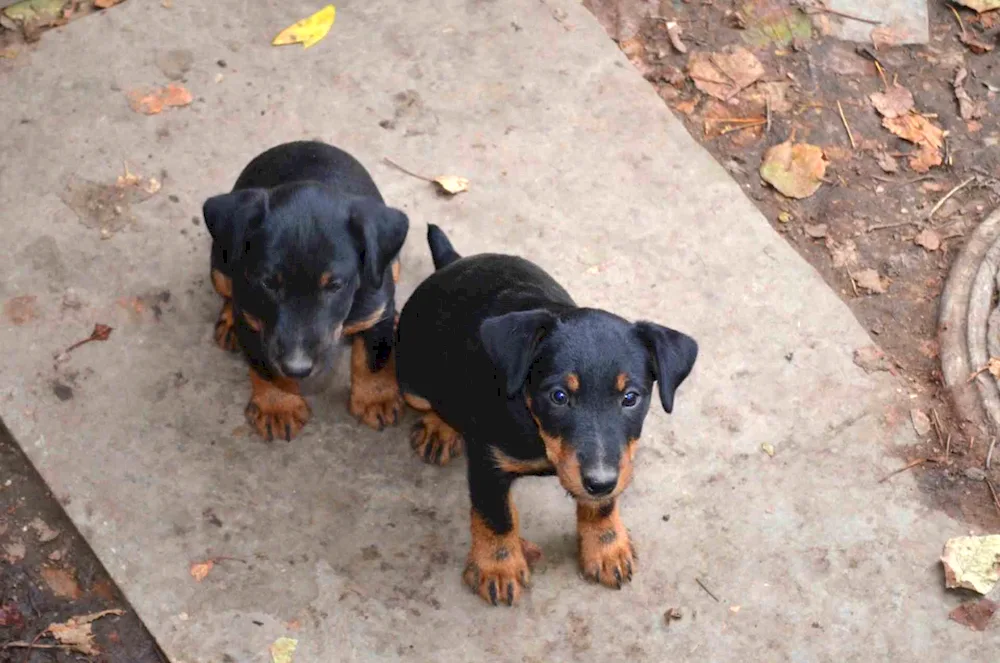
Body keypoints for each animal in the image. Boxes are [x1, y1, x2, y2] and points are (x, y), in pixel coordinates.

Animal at [205, 140, 408, 440]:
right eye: (267, 282)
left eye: (334, 285)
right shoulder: (254, 322)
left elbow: (373, 356)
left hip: (392, 264)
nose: (297, 367)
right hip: (220, 265)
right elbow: (264, 367)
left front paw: (376, 398)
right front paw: (278, 406)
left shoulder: (376, 304)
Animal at [394, 227, 700, 608]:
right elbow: (496, 516)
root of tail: (453, 261)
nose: (599, 481)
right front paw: (499, 566)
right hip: (412, 383)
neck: (536, 427)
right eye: (559, 396)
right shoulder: (487, 460)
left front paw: (606, 546)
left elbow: (602, 504)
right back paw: (440, 427)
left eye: (630, 398)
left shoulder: (615, 459)